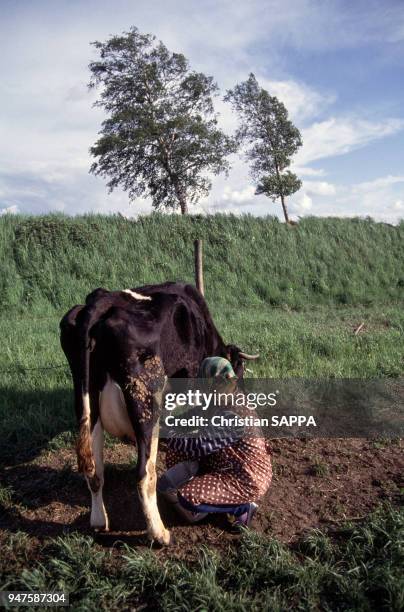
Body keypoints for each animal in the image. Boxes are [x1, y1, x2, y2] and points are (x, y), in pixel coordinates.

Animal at [60, 282, 258, 544]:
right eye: (239, 369)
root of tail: (100, 303)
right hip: (145, 398)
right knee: (145, 474)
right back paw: (159, 534)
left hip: (86, 401)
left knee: (95, 470)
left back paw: (99, 522)